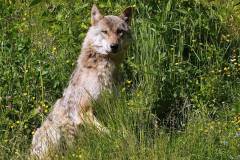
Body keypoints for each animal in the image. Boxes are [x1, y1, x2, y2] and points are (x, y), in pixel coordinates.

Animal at [30, 4, 133, 159]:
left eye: (120, 31)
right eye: (105, 32)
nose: (114, 46)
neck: (104, 70)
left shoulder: (112, 107)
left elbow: (120, 128)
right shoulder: (83, 110)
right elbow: (107, 132)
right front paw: (117, 140)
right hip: (57, 130)